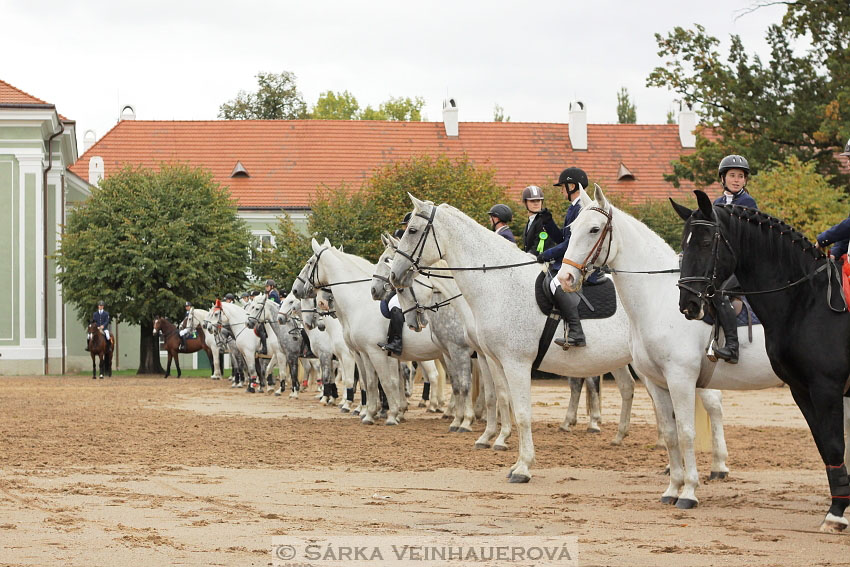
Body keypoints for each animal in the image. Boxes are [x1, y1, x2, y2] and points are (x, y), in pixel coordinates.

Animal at [388, 196, 724, 484]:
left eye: (413, 231)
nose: (394, 277)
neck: (498, 283)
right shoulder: (493, 360)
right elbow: (501, 399)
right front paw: (496, 441)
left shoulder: (515, 362)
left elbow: (522, 413)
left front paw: (522, 467)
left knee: (711, 405)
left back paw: (717, 466)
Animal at [556, 187, 788, 510]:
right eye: (572, 229)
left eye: (594, 229)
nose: (565, 279)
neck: (658, 300)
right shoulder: (657, 383)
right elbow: (669, 433)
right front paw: (673, 488)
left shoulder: (681, 379)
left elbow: (686, 433)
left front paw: (689, 492)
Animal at [668, 191, 848, 532]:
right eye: (684, 243)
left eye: (706, 242)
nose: (689, 304)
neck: (809, 301)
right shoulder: (801, 390)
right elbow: (824, 445)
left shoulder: (827, 389)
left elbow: (833, 445)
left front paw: (836, 514)